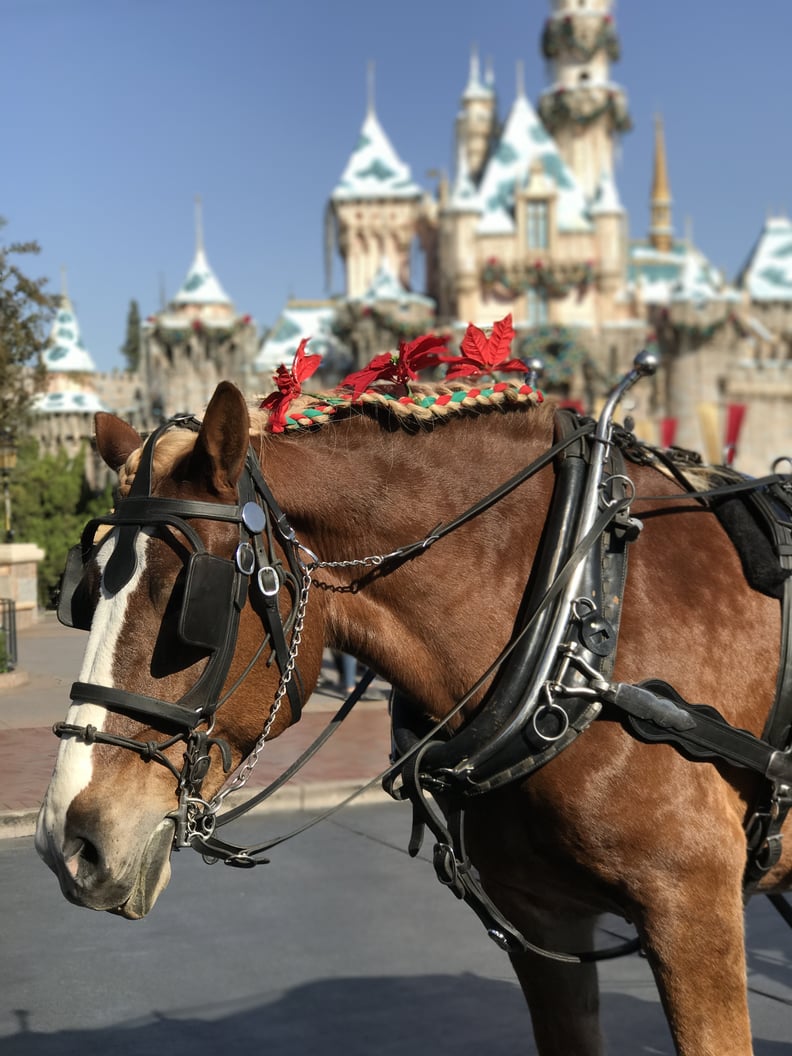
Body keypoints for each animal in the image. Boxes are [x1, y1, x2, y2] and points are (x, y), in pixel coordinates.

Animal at [34, 365, 792, 1056]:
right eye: (84, 590)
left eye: (190, 598)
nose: (68, 842)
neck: (582, 609)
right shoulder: (544, 923)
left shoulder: (692, 913)